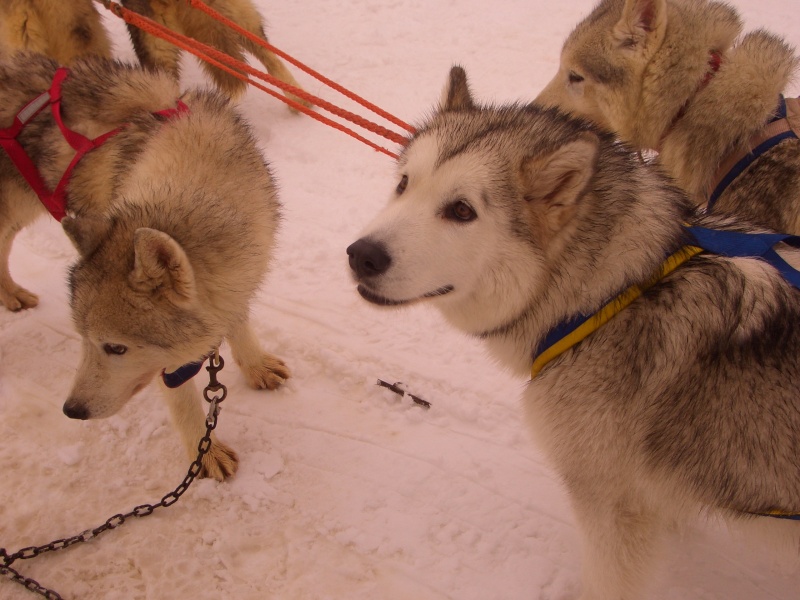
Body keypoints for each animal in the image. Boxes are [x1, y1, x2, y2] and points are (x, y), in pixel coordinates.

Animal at [1, 54, 290, 480]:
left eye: (115, 347)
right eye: (85, 340)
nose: (72, 411)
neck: (196, 172)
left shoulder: (241, 271)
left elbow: (237, 323)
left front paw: (255, 367)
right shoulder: (169, 360)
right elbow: (183, 401)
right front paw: (204, 453)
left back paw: (12, 294)